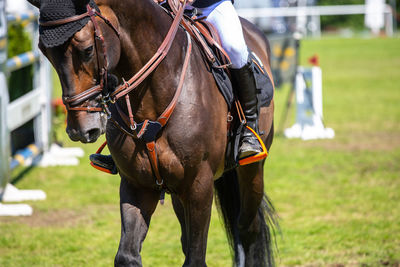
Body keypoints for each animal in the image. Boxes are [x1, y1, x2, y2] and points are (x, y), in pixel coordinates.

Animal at [28, 0, 276, 266]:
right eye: (44, 52)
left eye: (86, 49)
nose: (79, 129)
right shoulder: (137, 184)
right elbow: (127, 255)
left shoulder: (199, 185)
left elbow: (196, 257)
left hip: (251, 169)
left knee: (248, 227)